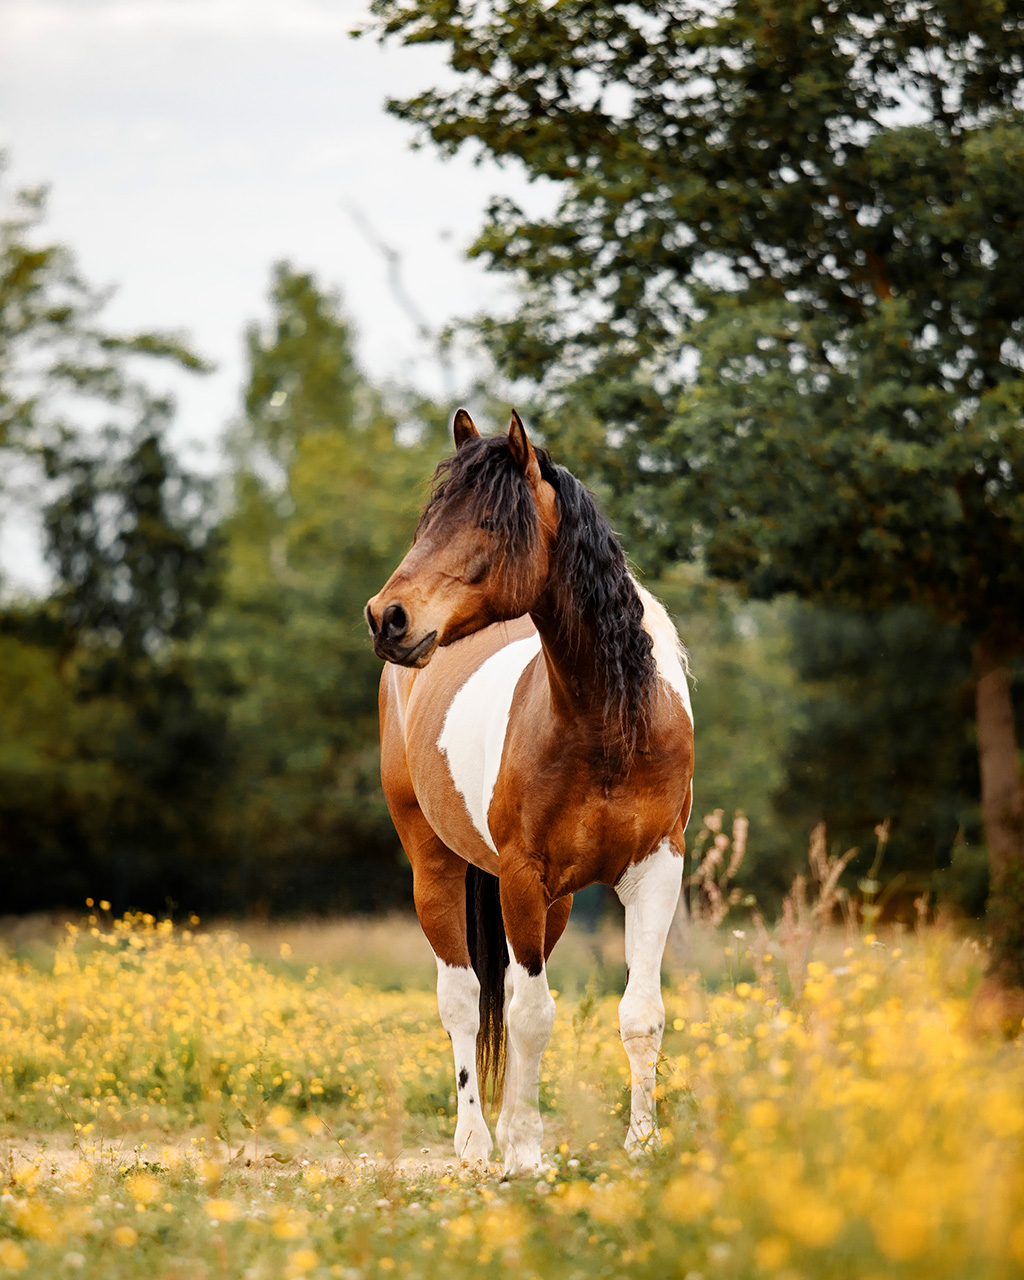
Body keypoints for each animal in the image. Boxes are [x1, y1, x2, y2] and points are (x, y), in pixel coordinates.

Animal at [363, 409, 691, 1172]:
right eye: (430, 519)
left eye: (488, 521)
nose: (387, 617)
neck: (606, 723)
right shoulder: (520, 875)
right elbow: (532, 1014)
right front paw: (525, 1153)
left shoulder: (657, 869)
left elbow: (640, 1013)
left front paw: (642, 1145)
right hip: (435, 867)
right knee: (462, 995)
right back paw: (477, 1142)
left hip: (558, 902)